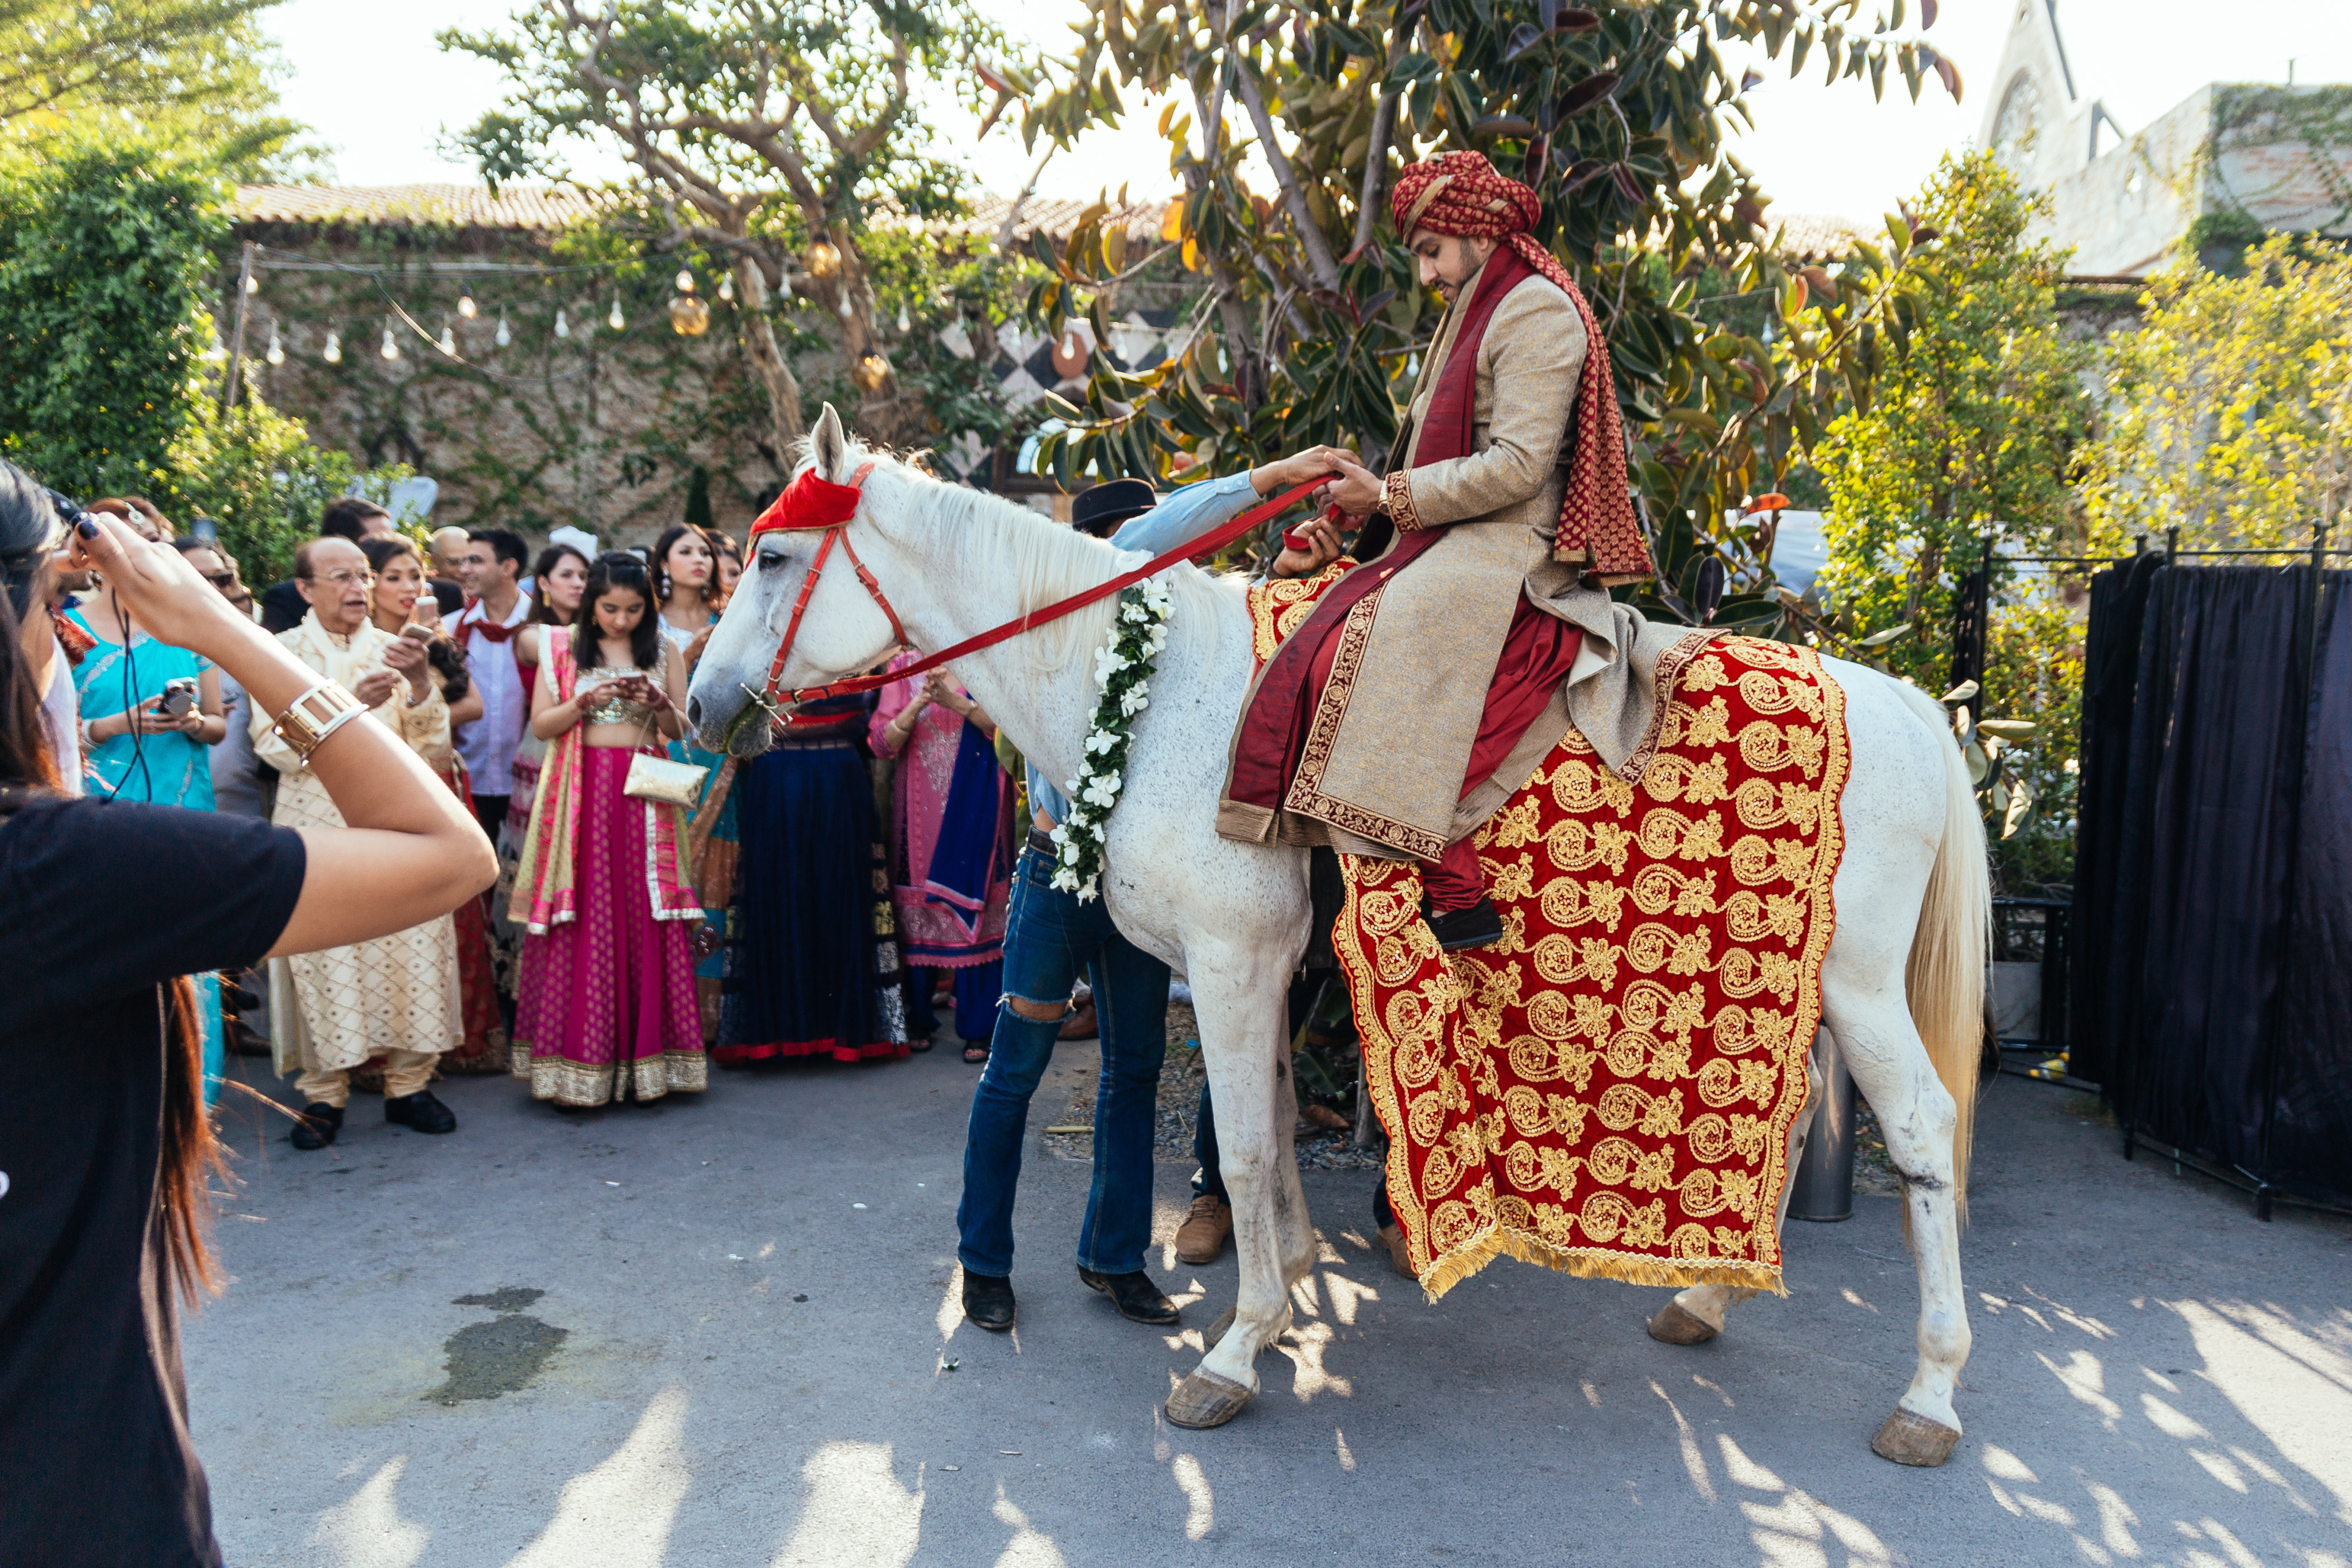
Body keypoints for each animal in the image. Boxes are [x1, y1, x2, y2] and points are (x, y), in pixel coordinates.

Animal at [686, 409, 1994, 1476]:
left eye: (770, 557)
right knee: (1788, 1119)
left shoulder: (1227, 964)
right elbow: (1259, 1126)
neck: (1149, 695)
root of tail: (1907, 706)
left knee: (1924, 1128)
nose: (698, 703)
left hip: (1859, 983)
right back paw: (1704, 1301)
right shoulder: (1257, 971)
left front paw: (1234, 1352)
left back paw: (1929, 1394)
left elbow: (1246, 1149)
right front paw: (1289, 1288)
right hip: (1801, 982)